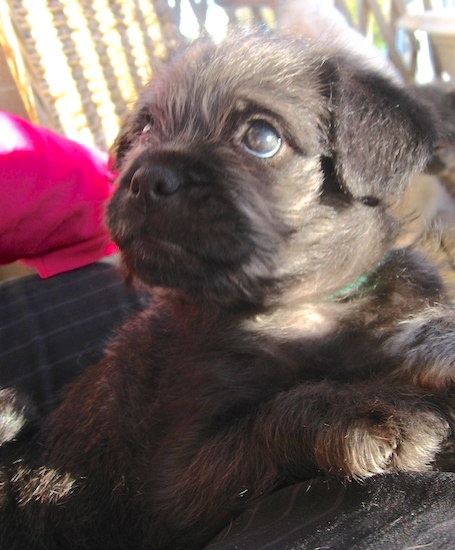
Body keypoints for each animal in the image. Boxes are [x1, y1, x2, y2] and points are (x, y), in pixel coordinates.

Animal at [0, 31, 455, 550]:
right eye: (144, 132)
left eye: (261, 138)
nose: (145, 177)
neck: (297, 309)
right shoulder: (173, 490)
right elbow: (271, 415)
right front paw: (363, 412)